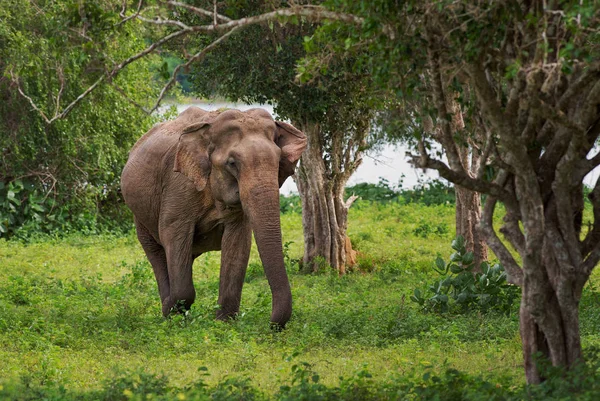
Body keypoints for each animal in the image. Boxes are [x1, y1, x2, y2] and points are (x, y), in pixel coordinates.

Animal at [122, 105, 310, 324]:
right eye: (232, 163)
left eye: (278, 162)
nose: (272, 325)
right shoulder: (178, 186)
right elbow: (174, 233)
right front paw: (176, 314)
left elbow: (238, 242)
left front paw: (223, 322)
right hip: (139, 215)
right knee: (157, 253)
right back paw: (168, 311)